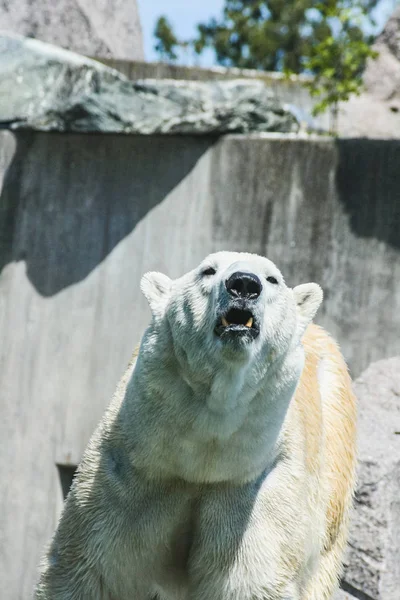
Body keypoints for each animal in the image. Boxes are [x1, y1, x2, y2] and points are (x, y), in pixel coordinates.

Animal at [34, 251, 356, 596]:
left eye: (273, 279)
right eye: (208, 270)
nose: (244, 283)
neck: (201, 458)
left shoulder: (257, 488)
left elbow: (250, 582)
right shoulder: (129, 472)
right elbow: (91, 571)